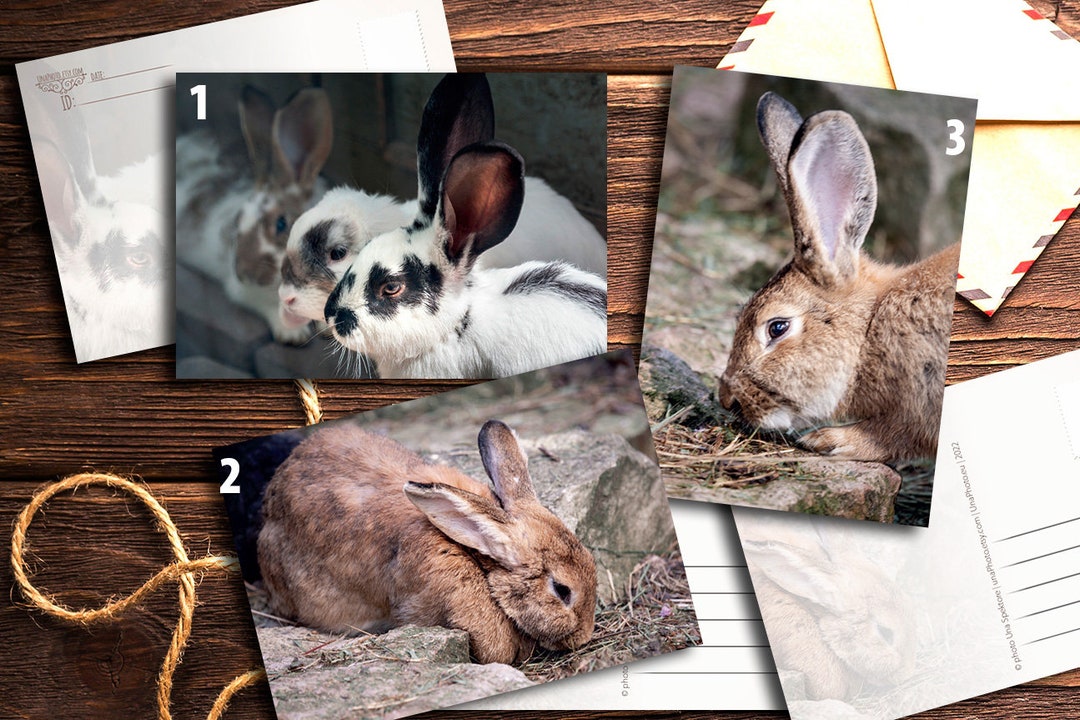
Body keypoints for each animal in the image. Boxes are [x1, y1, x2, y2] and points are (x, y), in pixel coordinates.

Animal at [176, 84, 333, 344]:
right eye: (237, 221)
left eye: (281, 224)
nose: (245, 274)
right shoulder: (246, 293)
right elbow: (269, 306)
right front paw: (292, 334)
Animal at [716, 92, 959, 463]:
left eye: (777, 327)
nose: (726, 399)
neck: (870, 329)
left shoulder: (919, 401)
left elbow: (894, 436)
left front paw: (830, 440)